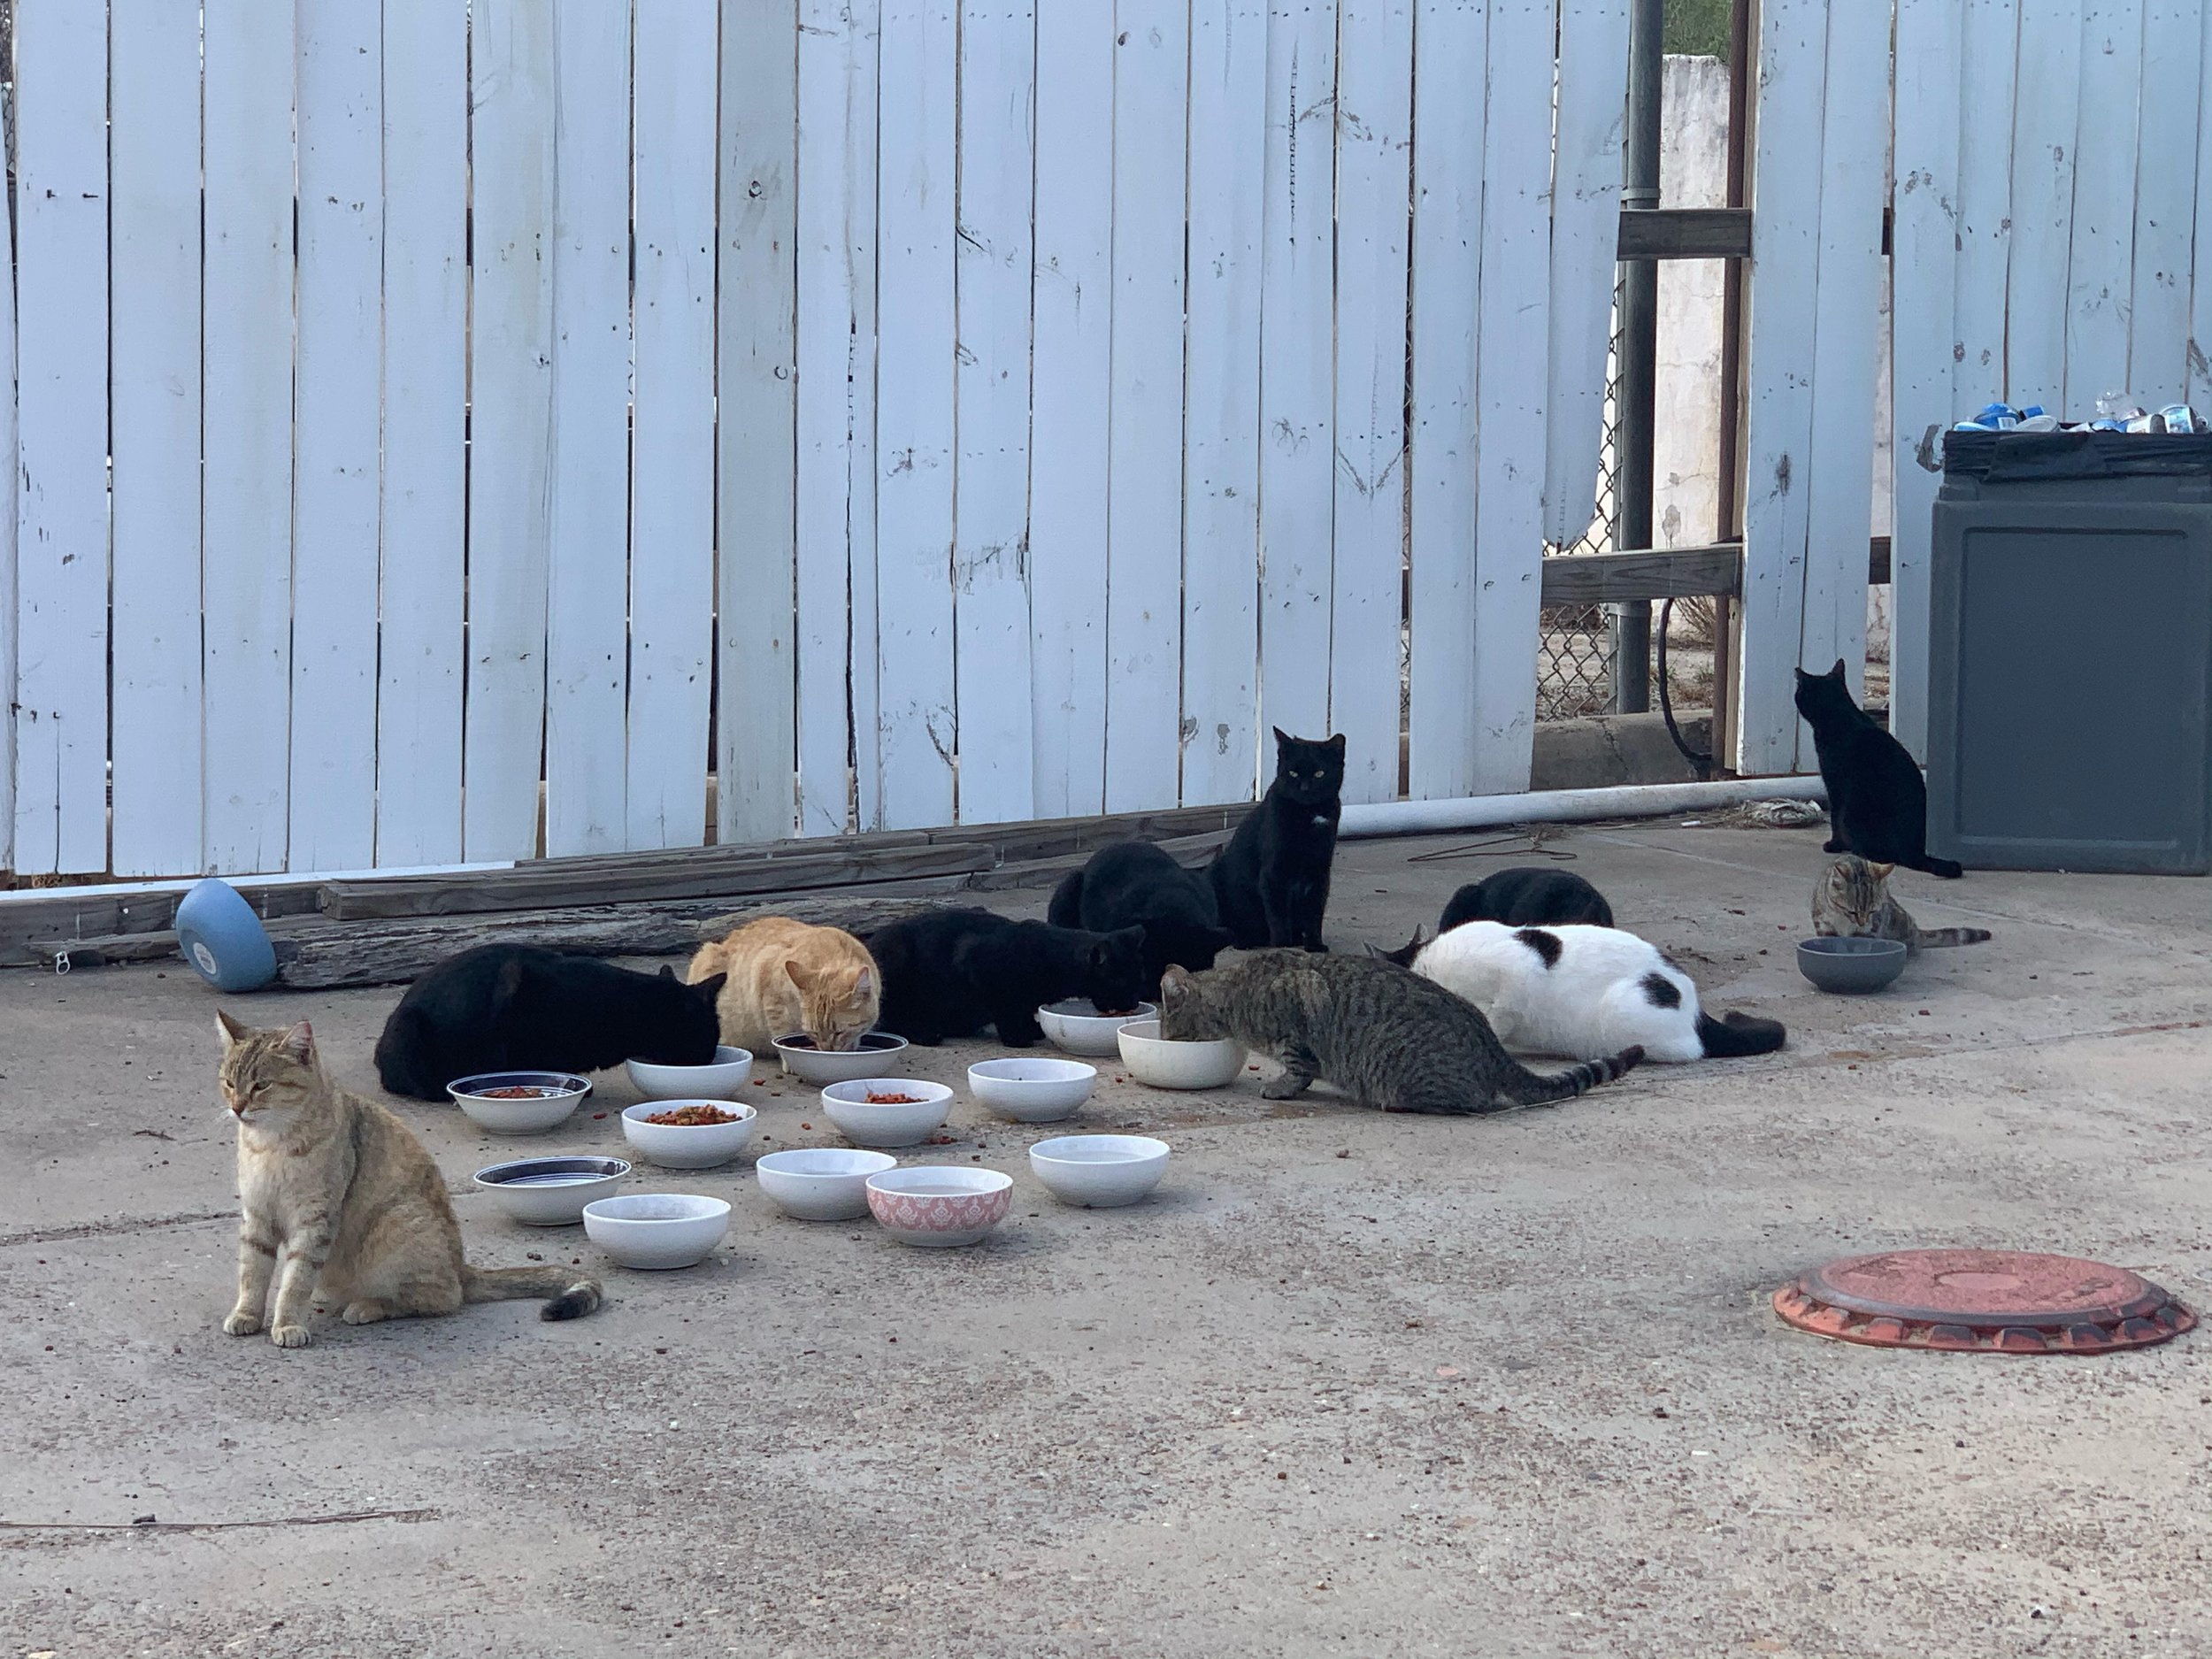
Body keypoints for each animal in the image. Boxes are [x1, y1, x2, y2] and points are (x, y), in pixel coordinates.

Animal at [217, 1013, 602, 1354]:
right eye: (229, 1083)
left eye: (261, 1085)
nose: (236, 1108)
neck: (270, 1145)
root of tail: (462, 1268)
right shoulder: (257, 1216)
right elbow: (252, 1272)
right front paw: (247, 1315)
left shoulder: (314, 1220)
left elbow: (294, 1280)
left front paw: (287, 1323)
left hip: (396, 1223)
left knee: (442, 1298)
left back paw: (369, 1306)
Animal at [1159, 947, 1646, 1119]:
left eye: (1170, 1033)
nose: (1166, 1042)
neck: (1237, 990)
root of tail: (1491, 1046)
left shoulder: (1298, 1017)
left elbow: (1299, 1069)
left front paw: (1279, 1088)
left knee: (1478, 1102)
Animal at [1805, 858, 2000, 960]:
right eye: (1852, 911)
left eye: (1872, 911)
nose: (1862, 921)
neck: (1843, 920)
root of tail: (1917, 932)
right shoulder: (1824, 925)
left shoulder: (1870, 929)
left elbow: (1859, 945)